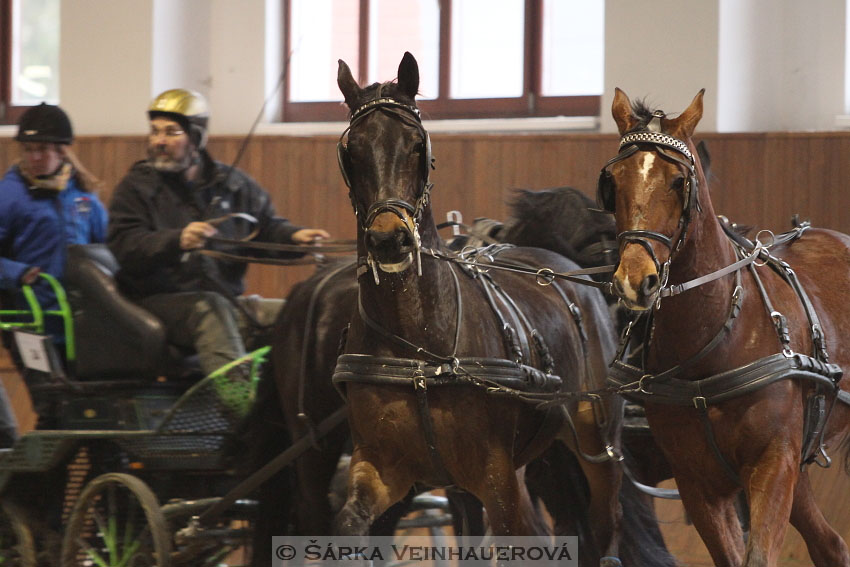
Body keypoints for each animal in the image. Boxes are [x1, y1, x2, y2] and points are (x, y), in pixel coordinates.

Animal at [332, 53, 624, 564]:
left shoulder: (496, 477)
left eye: (416, 145)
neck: (420, 351)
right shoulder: (378, 468)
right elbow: (351, 526)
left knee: (602, 524)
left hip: (596, 447)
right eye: (352, 151)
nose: (389, 239)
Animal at [600, 86, 848, 564]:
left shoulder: (774, 464)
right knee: (830, 545)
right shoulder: (698, 481)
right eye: (613, 182)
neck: (717, 338)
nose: (636, 281)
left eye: (679, 182)